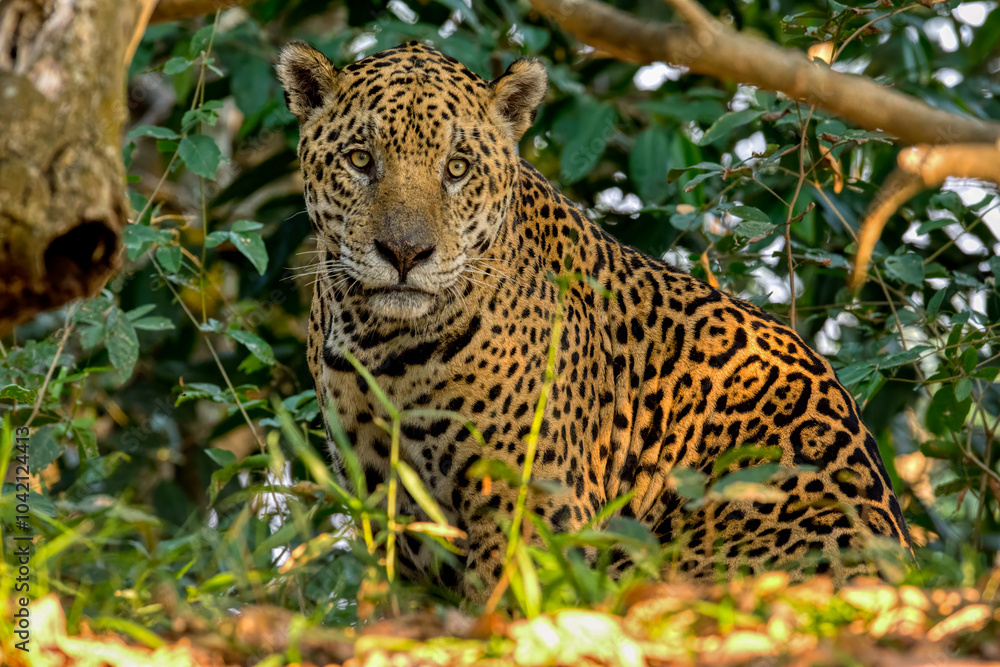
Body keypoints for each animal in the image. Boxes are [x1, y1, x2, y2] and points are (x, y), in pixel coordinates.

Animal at [277, 40, 911, 601]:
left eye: (457, 169)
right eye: (361, 160)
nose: (405, 253)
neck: (384, 343)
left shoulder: (530, 500)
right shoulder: (383, 500)